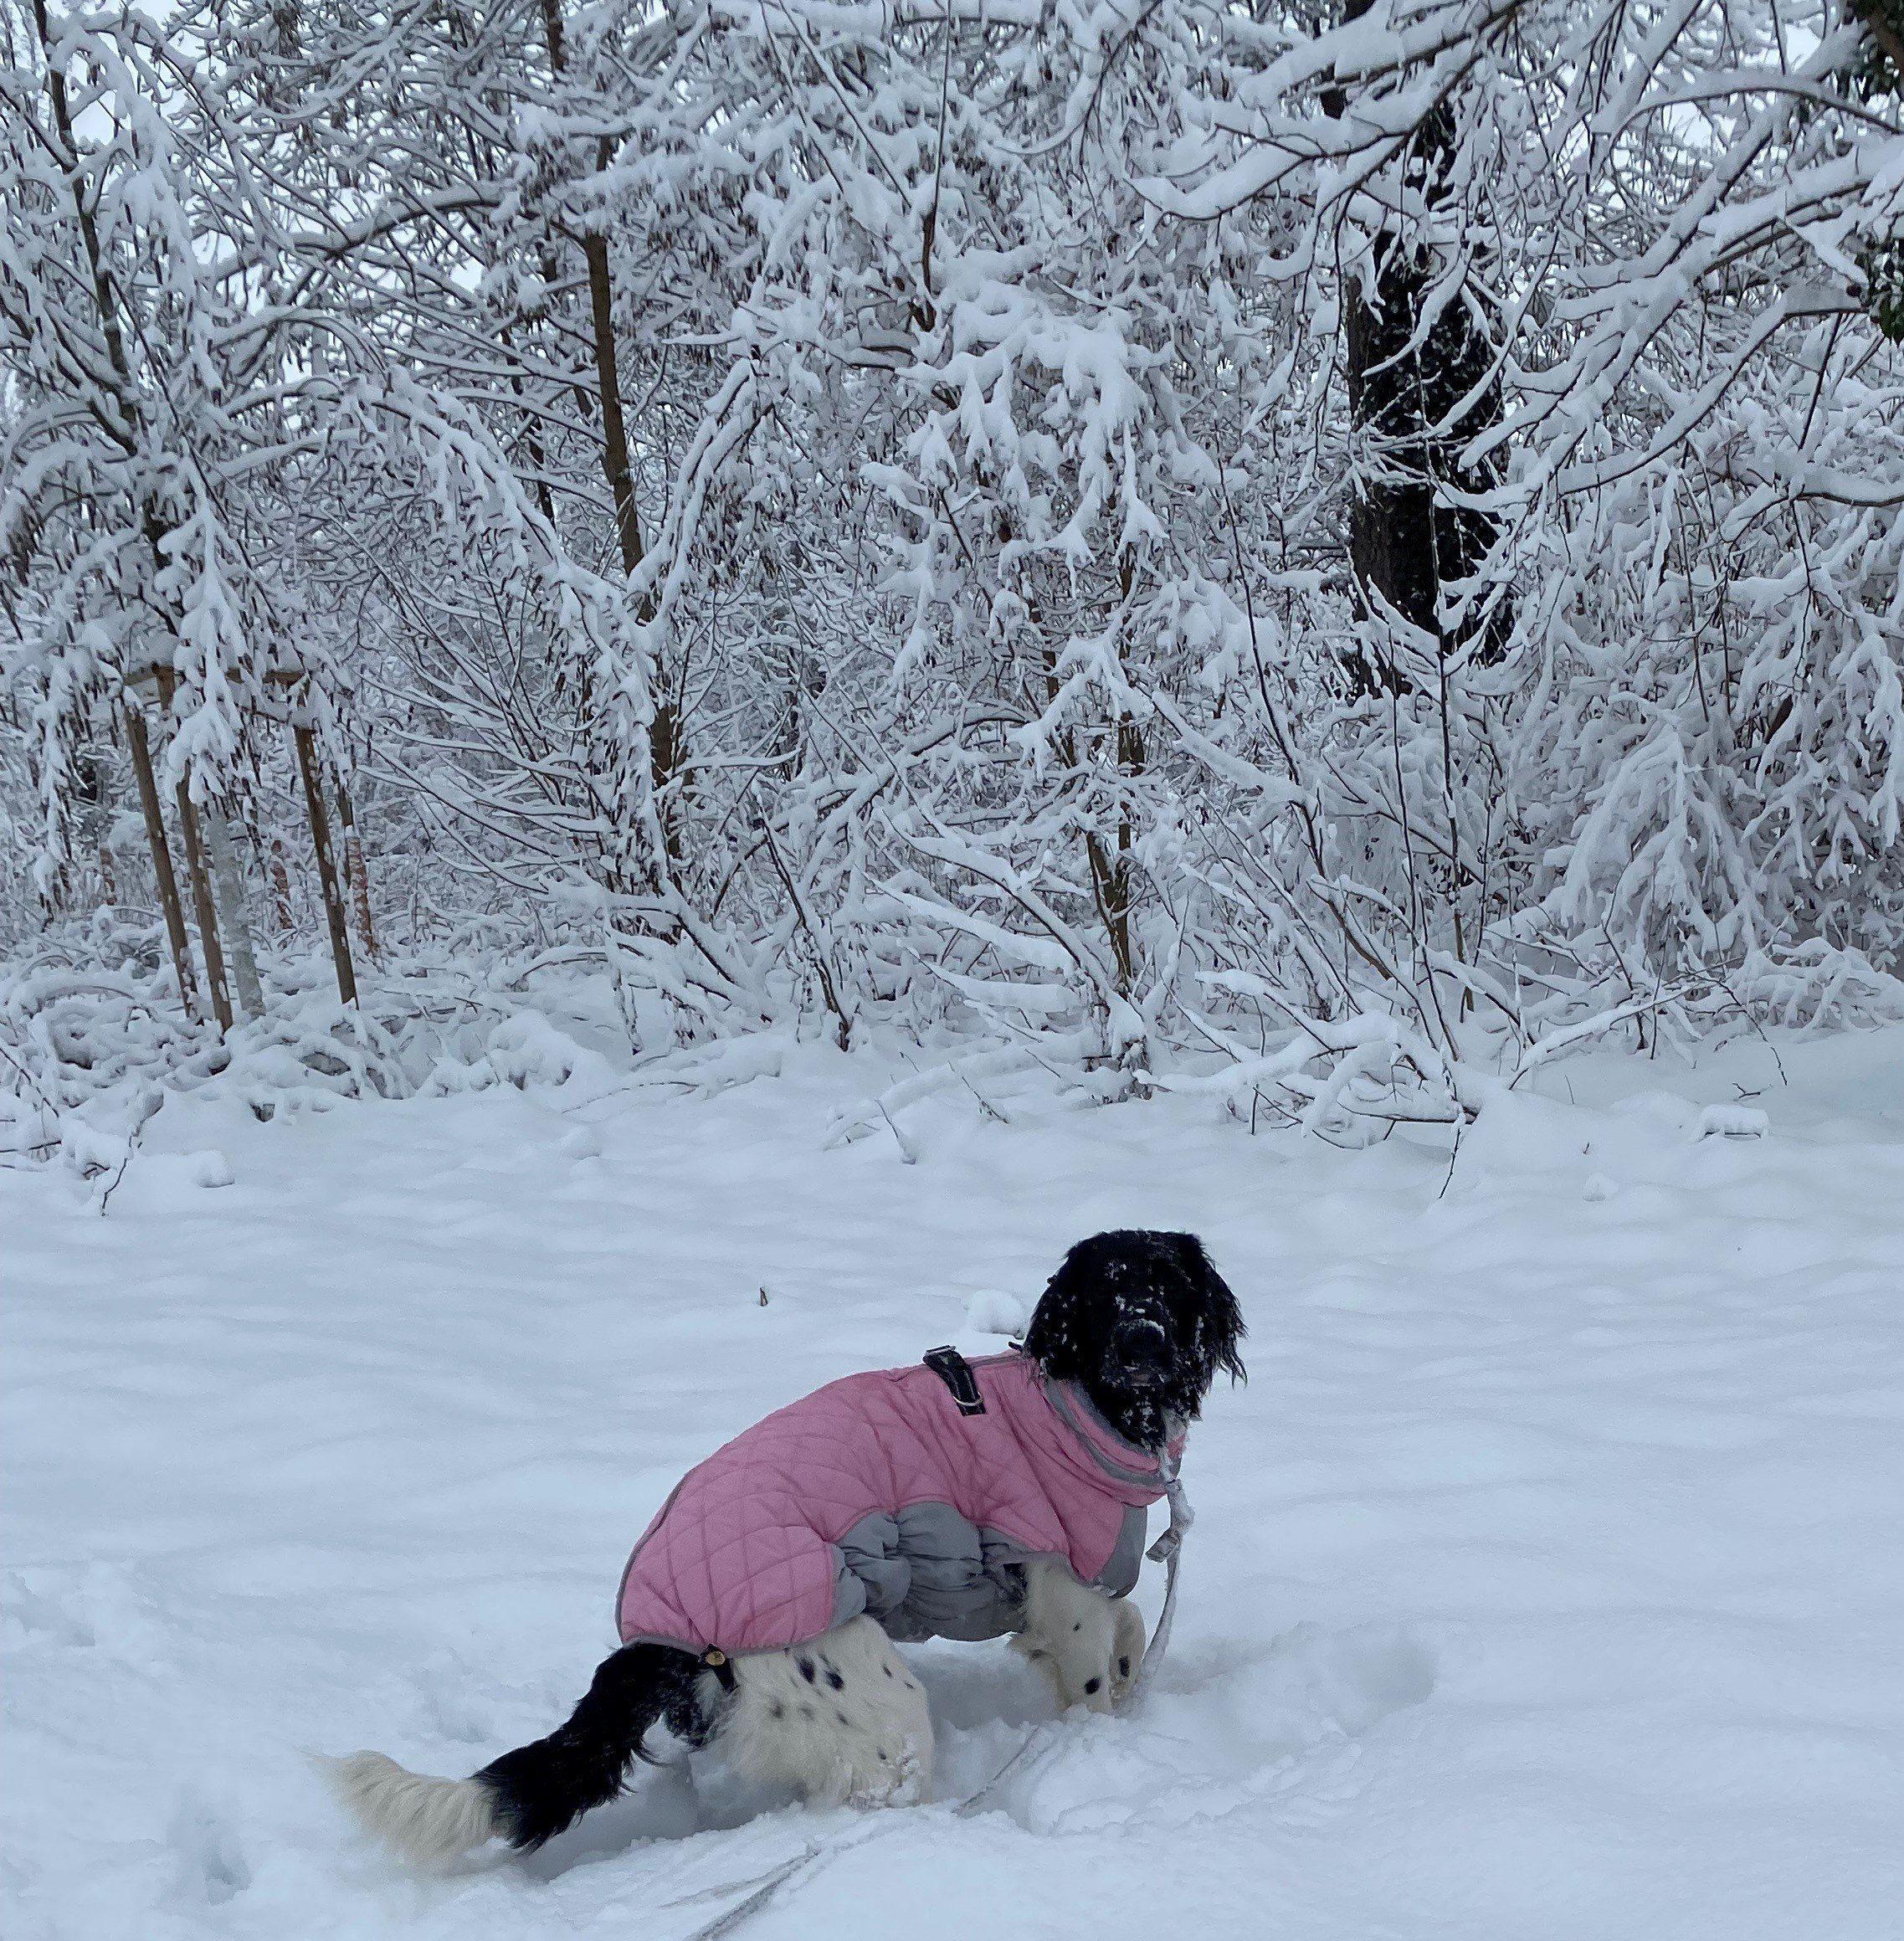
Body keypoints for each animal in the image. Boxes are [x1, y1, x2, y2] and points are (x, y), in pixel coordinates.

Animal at [327, 1229, 1244, 1866]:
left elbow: (1131, 1631)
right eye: (1103, 1297)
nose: (1144, 1342)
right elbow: (1096, 1678)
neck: (1082, 1409)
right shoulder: (1064, 1594)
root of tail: (655, 1634)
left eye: (1165, 1286)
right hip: (871, 1705)